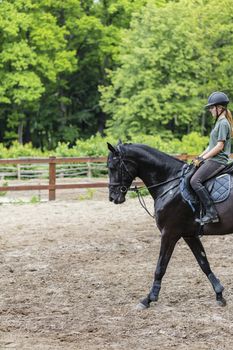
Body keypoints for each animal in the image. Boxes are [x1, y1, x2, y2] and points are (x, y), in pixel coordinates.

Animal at [108, 142, 233, 308]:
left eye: (113, 167)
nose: (112, 197)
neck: (170, 185)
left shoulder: (169, 233)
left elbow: (161, 266)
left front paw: (148, 298)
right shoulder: (189, 235)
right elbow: (203, 263)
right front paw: (219, 294)